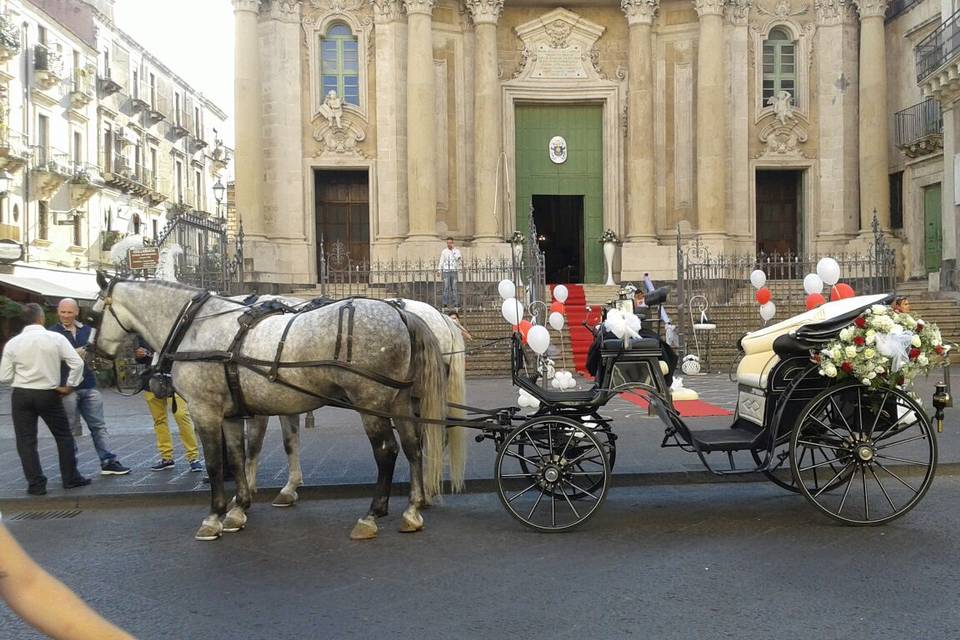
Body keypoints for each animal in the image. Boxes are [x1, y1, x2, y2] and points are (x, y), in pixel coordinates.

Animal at [238, 298, 466, 512]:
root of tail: (442, 318)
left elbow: (254, 446)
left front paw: (248, 490)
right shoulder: (286, 400)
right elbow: (289, 442)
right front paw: (288, 489)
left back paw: (426, 491)